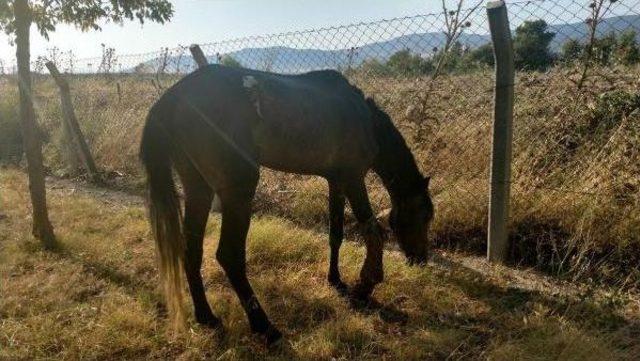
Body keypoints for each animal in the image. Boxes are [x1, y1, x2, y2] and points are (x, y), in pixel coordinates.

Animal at [138, 64, 432, 344]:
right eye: (425, 216)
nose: (421, 259)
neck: (366, 121)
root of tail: (174, 97)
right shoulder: (353, 178)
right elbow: (373, 233)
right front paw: (365, 285)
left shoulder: (335, 182)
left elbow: (335, 234)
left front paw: (336, 280)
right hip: (238, 192)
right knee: (230, 256)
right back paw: (266, 328)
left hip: (198, 188)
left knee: (192, 250)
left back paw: (207, 317)